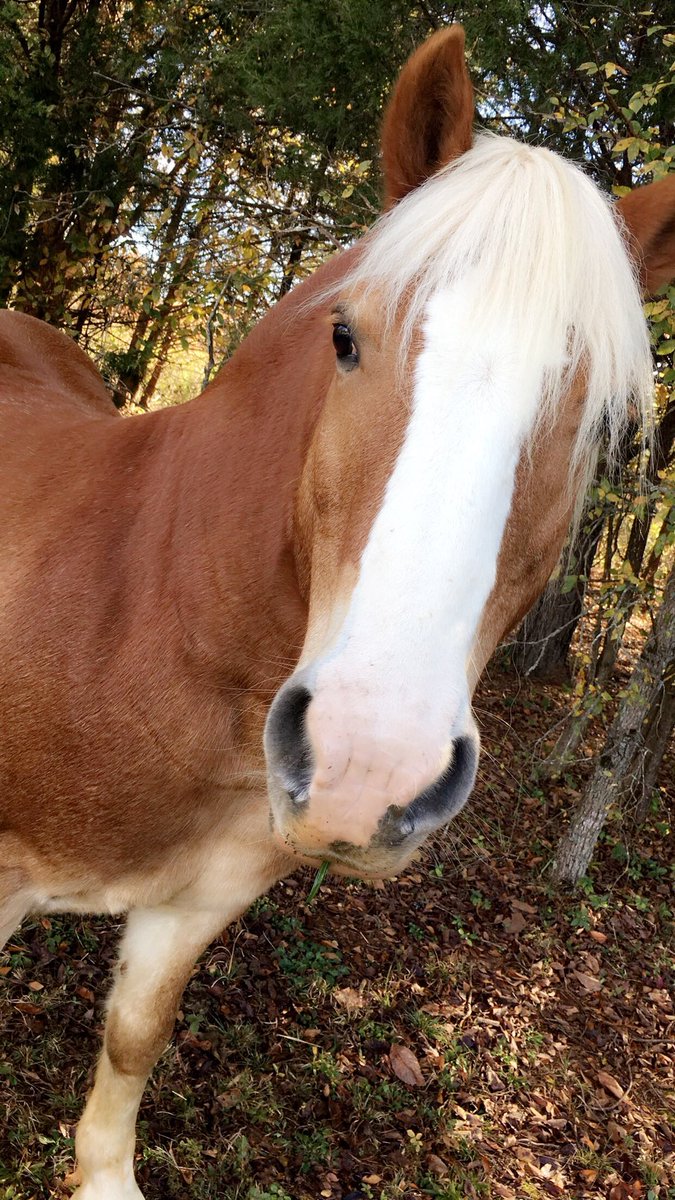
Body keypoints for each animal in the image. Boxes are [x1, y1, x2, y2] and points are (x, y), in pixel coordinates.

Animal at [1, 24, 674, 1200]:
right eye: (347, 338)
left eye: (601, 426)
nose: (370, 765)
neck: (146, 612)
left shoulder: (194, 906)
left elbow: (134, 1040)